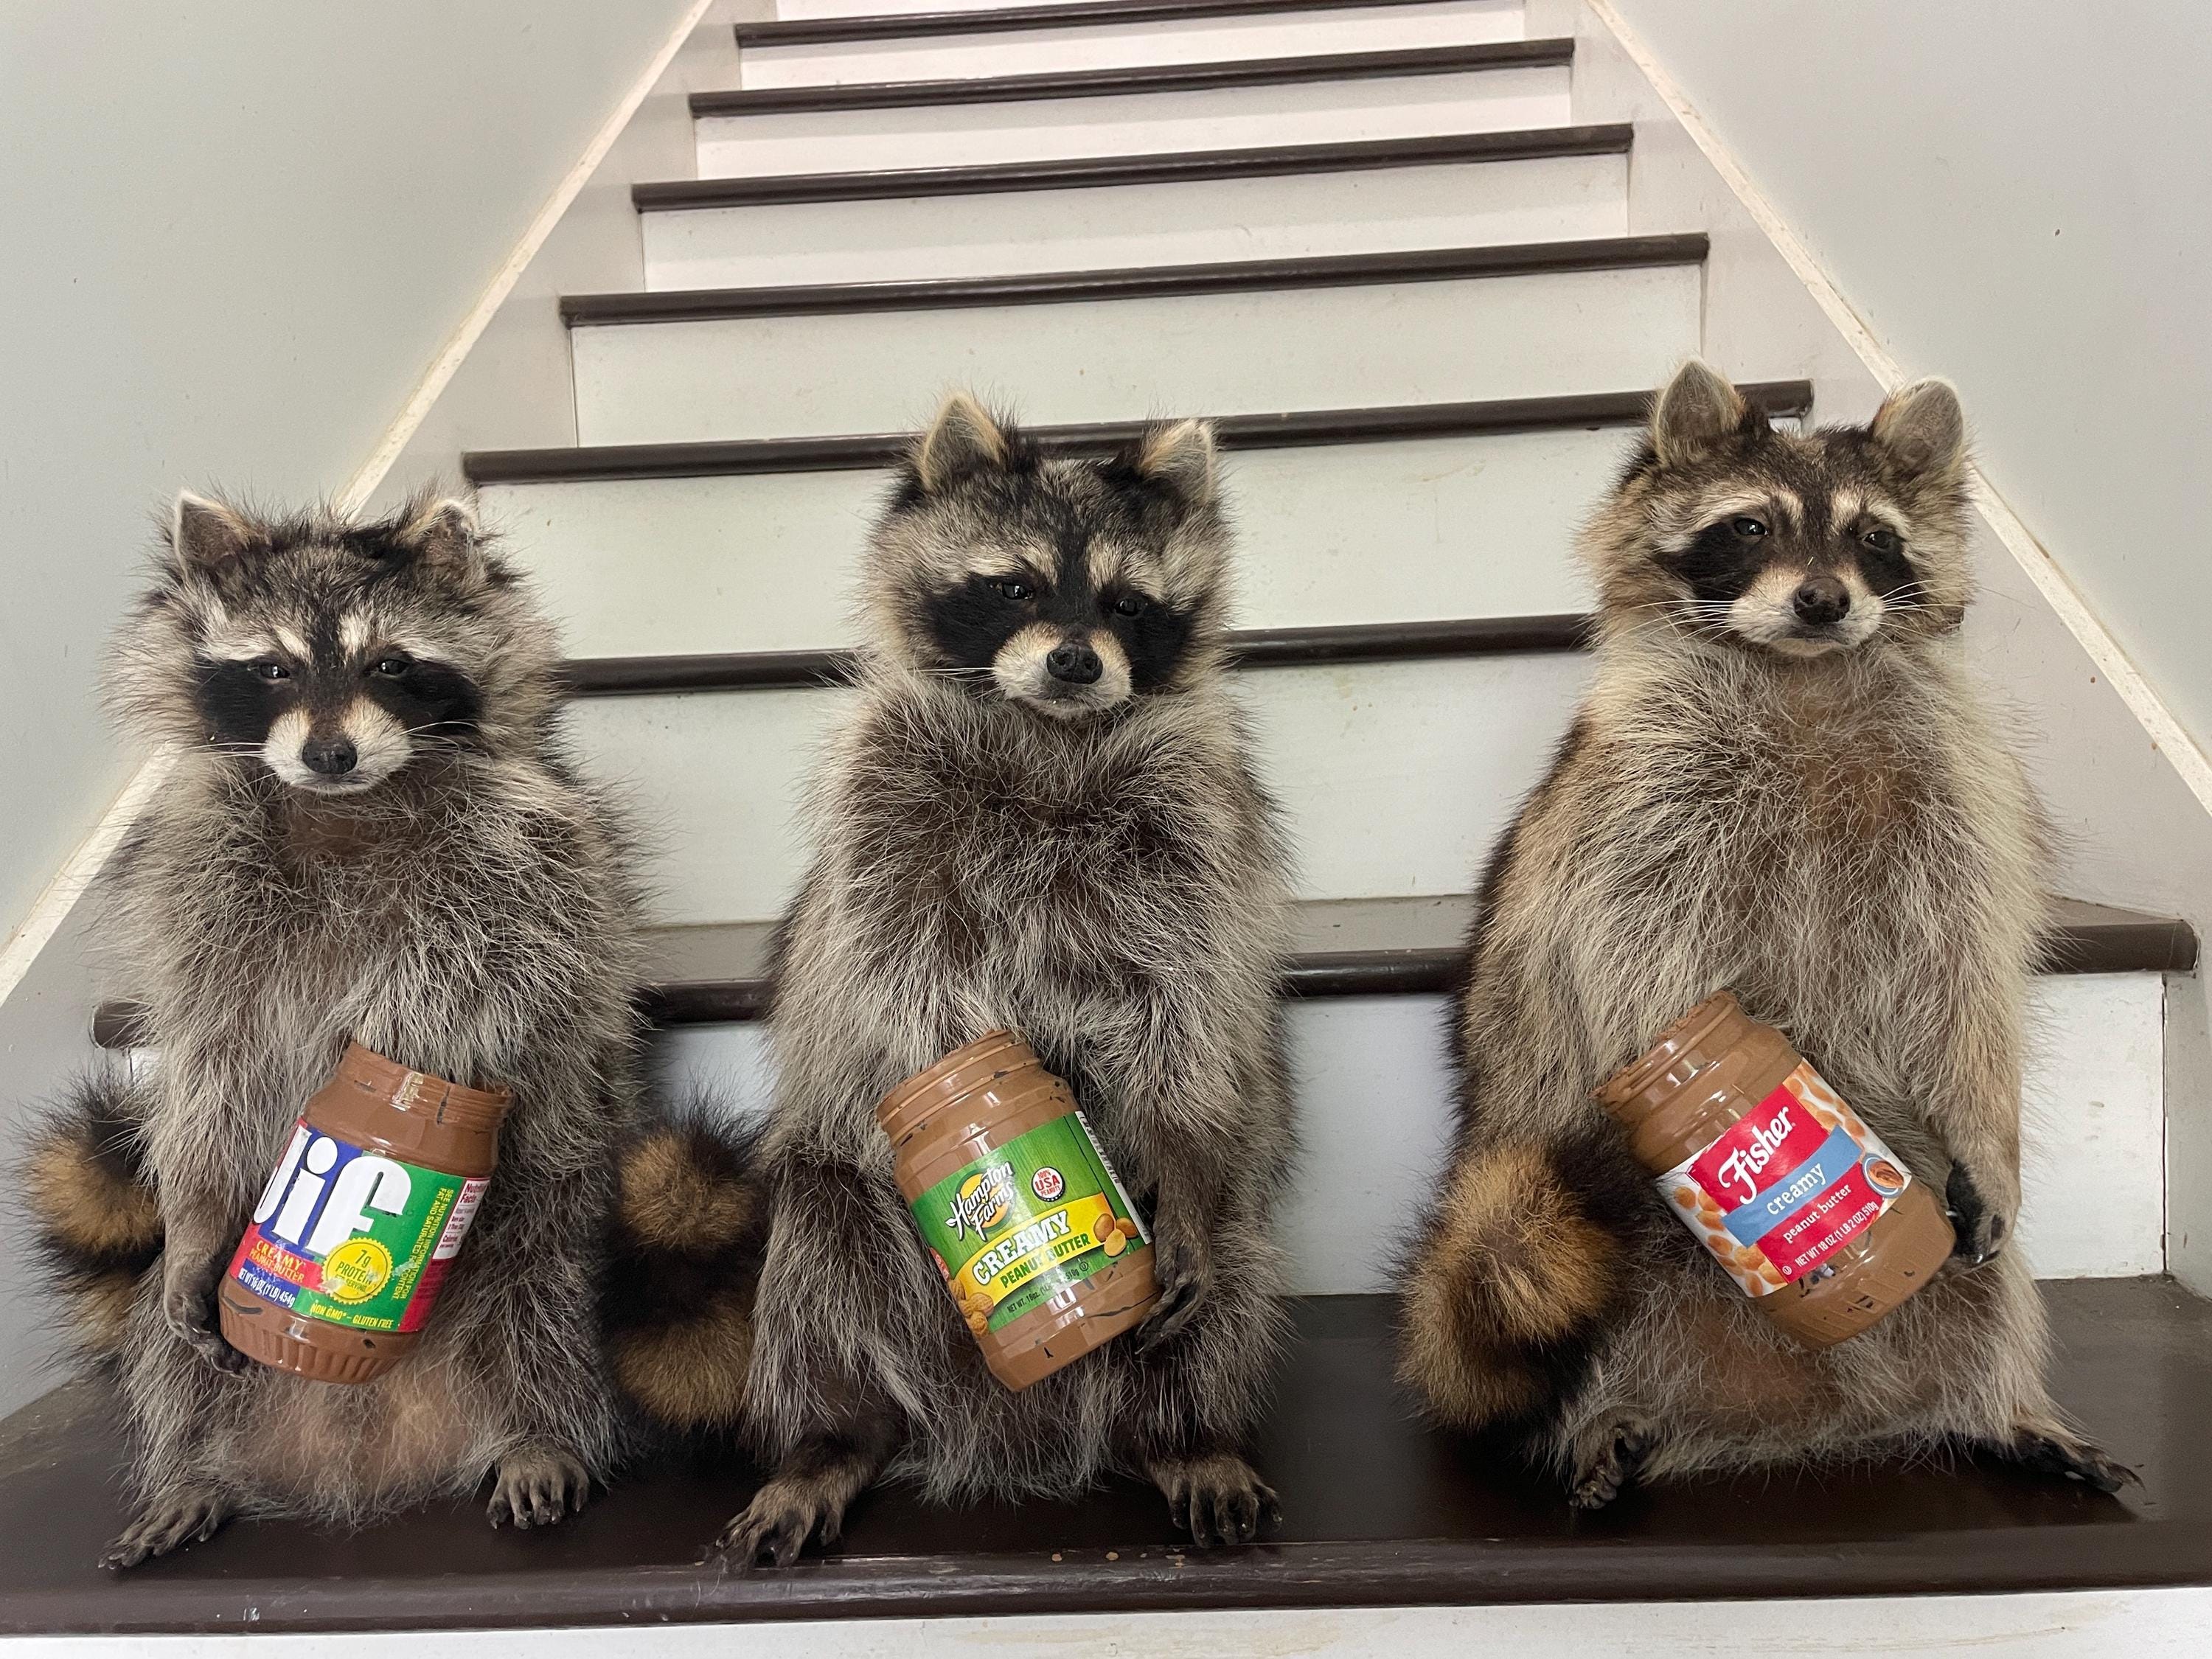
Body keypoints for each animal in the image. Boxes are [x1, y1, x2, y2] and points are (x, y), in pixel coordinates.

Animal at [32, 490, 659, 1566]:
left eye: (390, 665)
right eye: (275, 667)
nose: (330, 753)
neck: (345, 807)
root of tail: (363, 1470)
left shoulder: (533, 858)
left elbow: (510, 1001)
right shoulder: (198, 891)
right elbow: (210, 1072)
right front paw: (198, 1214)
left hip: (553, 1224)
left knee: (547, 1301)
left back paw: (539, 1432)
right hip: (199, 1351)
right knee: (165, 1347)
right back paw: (193, 1466)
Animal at [716, 397, 1295, 1564]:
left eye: (1126, 604)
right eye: (1017, 587)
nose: (1076, 662)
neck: (1050, 732)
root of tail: (1006, 1430)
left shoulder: (1197, 824)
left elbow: (1186, 1003)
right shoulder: (884, 797)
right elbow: (905, 973)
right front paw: (979, 1090)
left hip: (1227, 1216)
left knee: (1231, 1258)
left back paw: (1188, 1432)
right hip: (842, 1196)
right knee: (818, 1274)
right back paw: (832, 1437)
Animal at [1399, 362, 2128, 1504]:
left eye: (1873, 537)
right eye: (1750, 526)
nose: (1824, 599)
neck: (1802, 670)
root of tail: (1805, 1420)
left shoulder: (1961, 794)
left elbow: (1969, 973)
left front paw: (1990, 1130)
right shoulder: (1635, 798)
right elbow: (1636, 958)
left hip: (1941, 1241)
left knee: (1994, 1292)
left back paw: (1997, 1405)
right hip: (1575, 1233)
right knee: (1557, 1297)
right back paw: (1604, 1414)